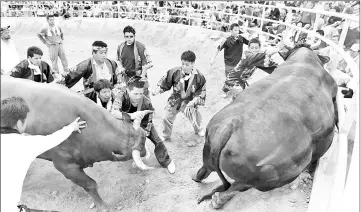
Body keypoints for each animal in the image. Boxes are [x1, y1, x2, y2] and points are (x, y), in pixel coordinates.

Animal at [193, 45, 336, 210]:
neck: (305, 62)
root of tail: (230, 125)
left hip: (208, 150)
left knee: (205, 169)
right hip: (260, 179)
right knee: (232, 189)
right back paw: (217, 199)